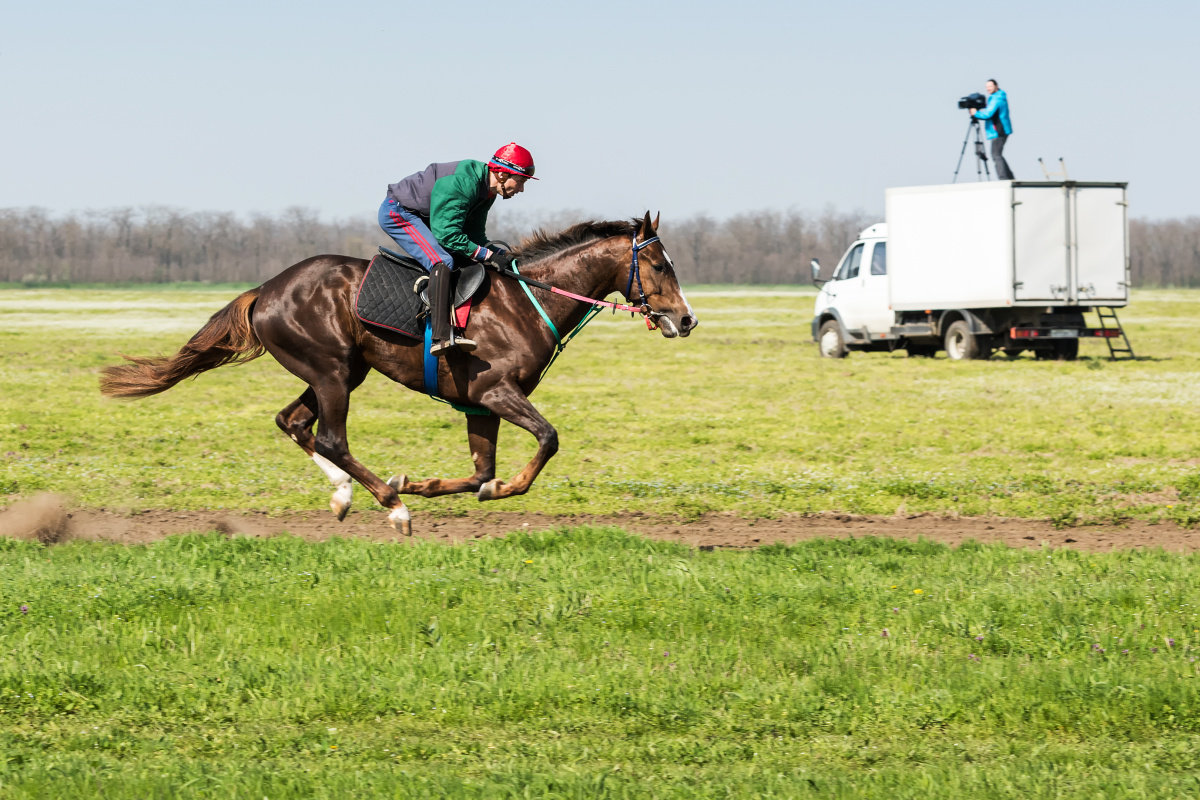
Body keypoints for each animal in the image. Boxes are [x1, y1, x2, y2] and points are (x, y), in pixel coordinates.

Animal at [103, 215, 700, 534]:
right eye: (660, 265)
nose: (687, 319)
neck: (527, 301)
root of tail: (266, 289)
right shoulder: (495, 391)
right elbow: (547, 440)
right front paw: (473, 490)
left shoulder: (479, 403)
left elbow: (479, 473)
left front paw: (424, 482)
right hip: (332, 371)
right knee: (330, 437)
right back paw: (393, 509)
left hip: (341, 371)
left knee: (292, 422)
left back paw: (346, 495)